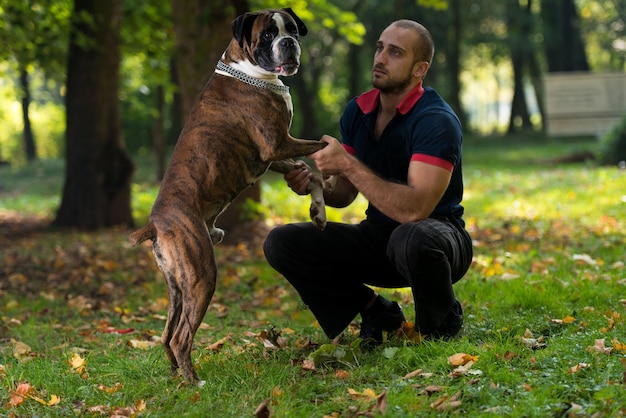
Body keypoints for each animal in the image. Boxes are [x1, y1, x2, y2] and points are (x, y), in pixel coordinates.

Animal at [128, 7, 332, 386]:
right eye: (267, 35)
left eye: (293, 30)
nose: (288, 43)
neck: (250, 72)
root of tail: (155, 225)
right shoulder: (277, 143)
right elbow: (325, 145)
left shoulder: (273, 157)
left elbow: (311, 173)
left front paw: (318, 212)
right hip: (201, 275)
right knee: (180, 337)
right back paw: (195, 382)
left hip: (177, 286)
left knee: (166, 333)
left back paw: (177, 376)